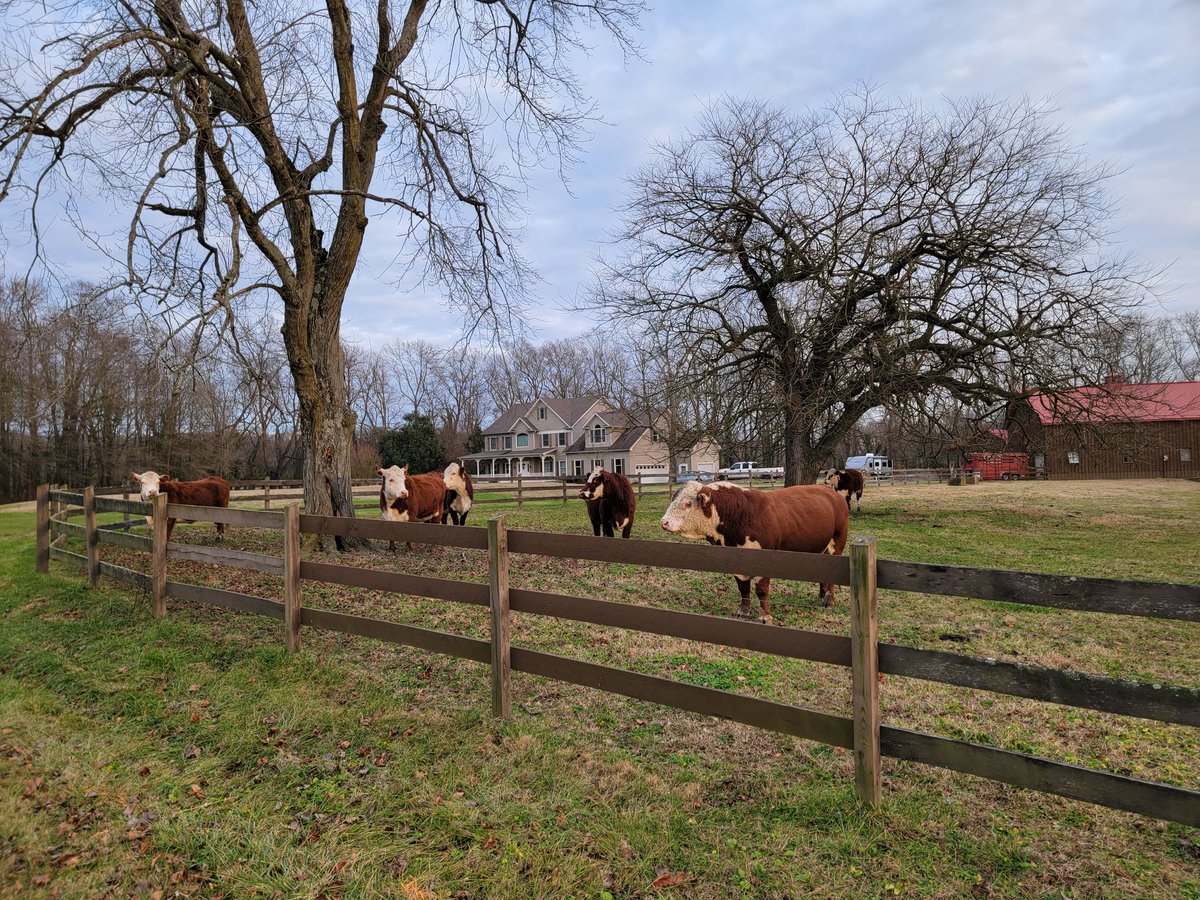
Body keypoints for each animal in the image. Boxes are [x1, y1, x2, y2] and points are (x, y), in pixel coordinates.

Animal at [660, 481, 849, 623]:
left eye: (687, 503)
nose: (664, 522)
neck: (740, 513)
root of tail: (830, 492)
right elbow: (743, 588)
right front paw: (743, 612)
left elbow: (761, 590)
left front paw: (765, 616)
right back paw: (822, 596)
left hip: (837, 543)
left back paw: (829, 601)